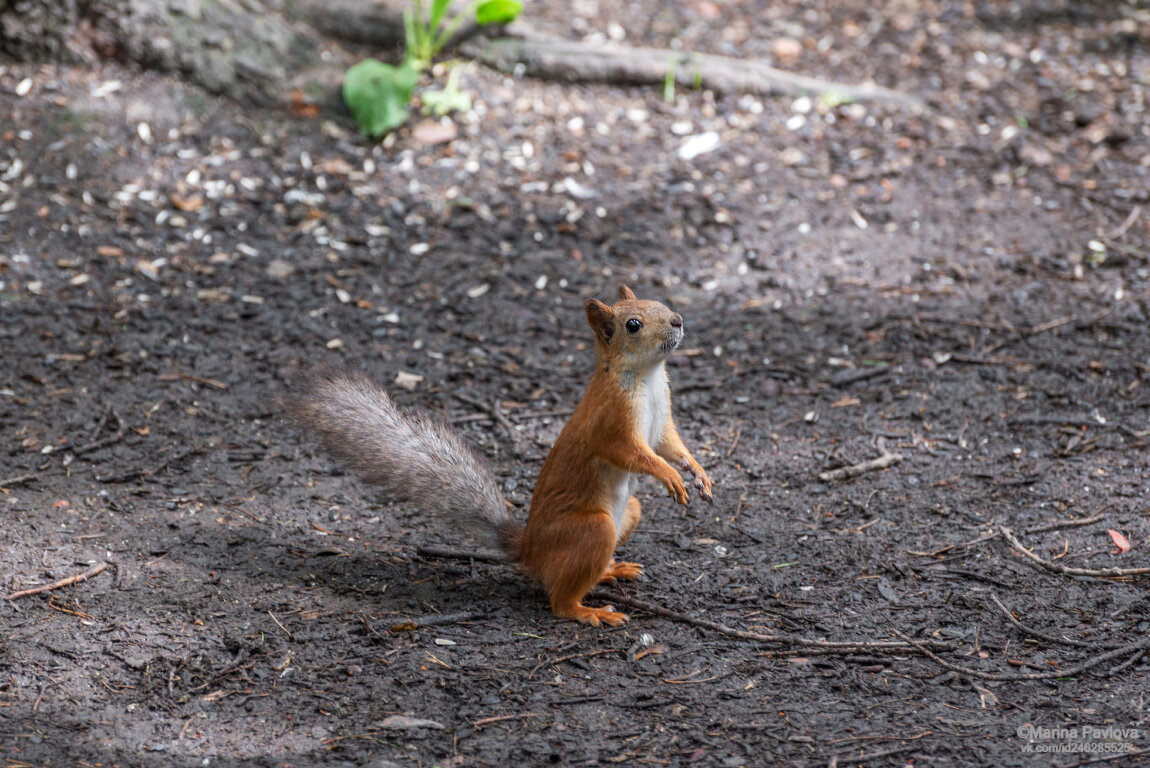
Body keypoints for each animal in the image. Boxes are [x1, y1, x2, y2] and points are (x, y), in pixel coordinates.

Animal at [289, 285, 713, 627]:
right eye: (633, 325)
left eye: (660, 302)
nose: (677, 321)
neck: (647, 375)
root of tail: (530, 552)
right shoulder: (612, 424)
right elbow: (634, 454)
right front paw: (669, 476)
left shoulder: (662, 421)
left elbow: (671, 446)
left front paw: (696, 470)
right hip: (593, 529)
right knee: (559, 599)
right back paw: (589, 611)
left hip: (631, 512)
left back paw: (612, 570)